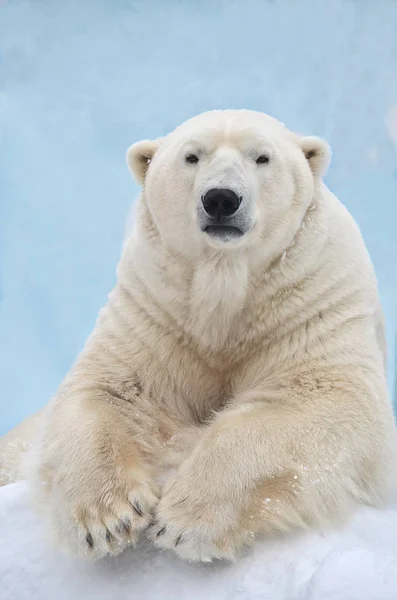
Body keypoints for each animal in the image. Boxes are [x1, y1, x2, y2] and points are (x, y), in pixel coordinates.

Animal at [0, 109, 396, 564]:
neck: (226, 286)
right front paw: (108, 518)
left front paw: (184, 520)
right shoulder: (156, 306)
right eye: (191, 156)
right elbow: (110, 389)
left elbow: (322, 396)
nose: (221, 199)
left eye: (262, 157)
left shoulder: (311, 299)